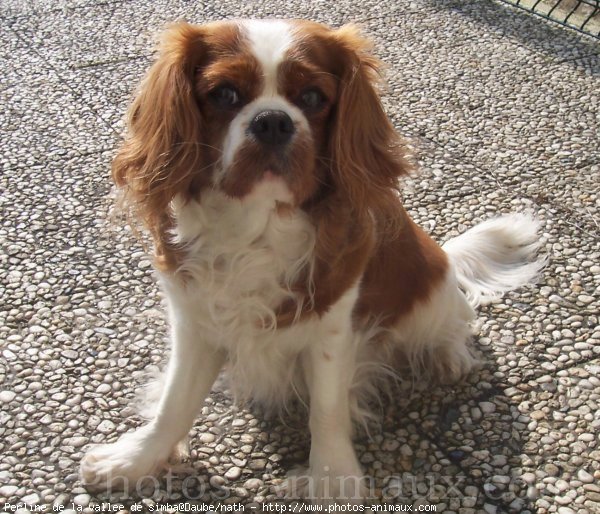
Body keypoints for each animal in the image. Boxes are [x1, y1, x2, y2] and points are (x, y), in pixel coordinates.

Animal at [79, 19, 544, 500]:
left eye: (313, 98)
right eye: (224, 93)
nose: (272, 121)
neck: (259, 228)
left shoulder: (332, 326)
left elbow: (327, 407)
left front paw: (332, 479)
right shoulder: (195, 319)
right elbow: (175, 402)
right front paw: (134, 460)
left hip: (429, 290)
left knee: (453, 319)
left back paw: (448, 356)